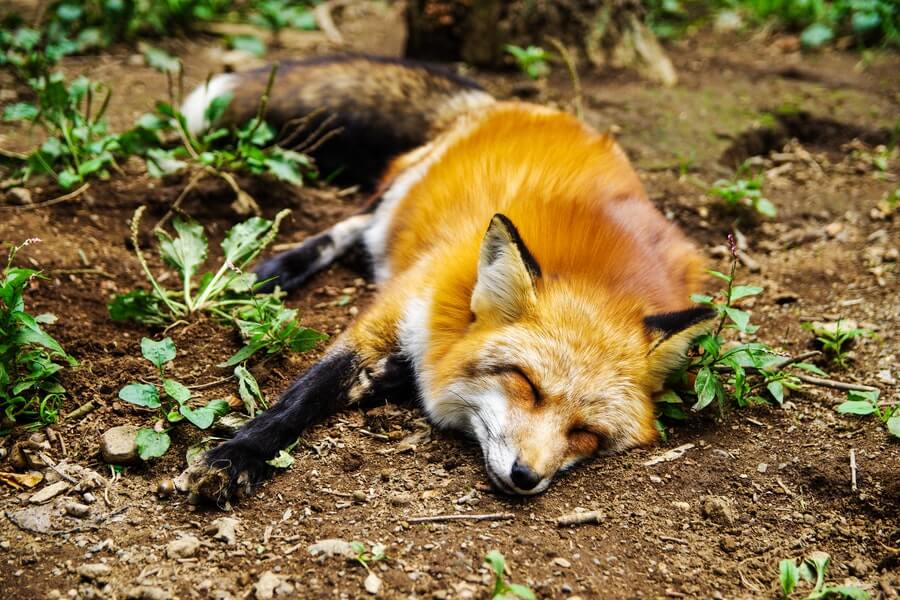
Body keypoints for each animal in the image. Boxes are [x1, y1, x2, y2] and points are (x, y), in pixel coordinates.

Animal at [182, 55, 715, 502]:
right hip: (402, 188)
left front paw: (387, 377)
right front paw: (238, 455)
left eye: (586, 434)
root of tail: (514, 105)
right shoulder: (396, 305)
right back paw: (279, 270)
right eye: (527, 385)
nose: (527, 477)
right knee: (357, 222)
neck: (597, 278)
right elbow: (304, 394)